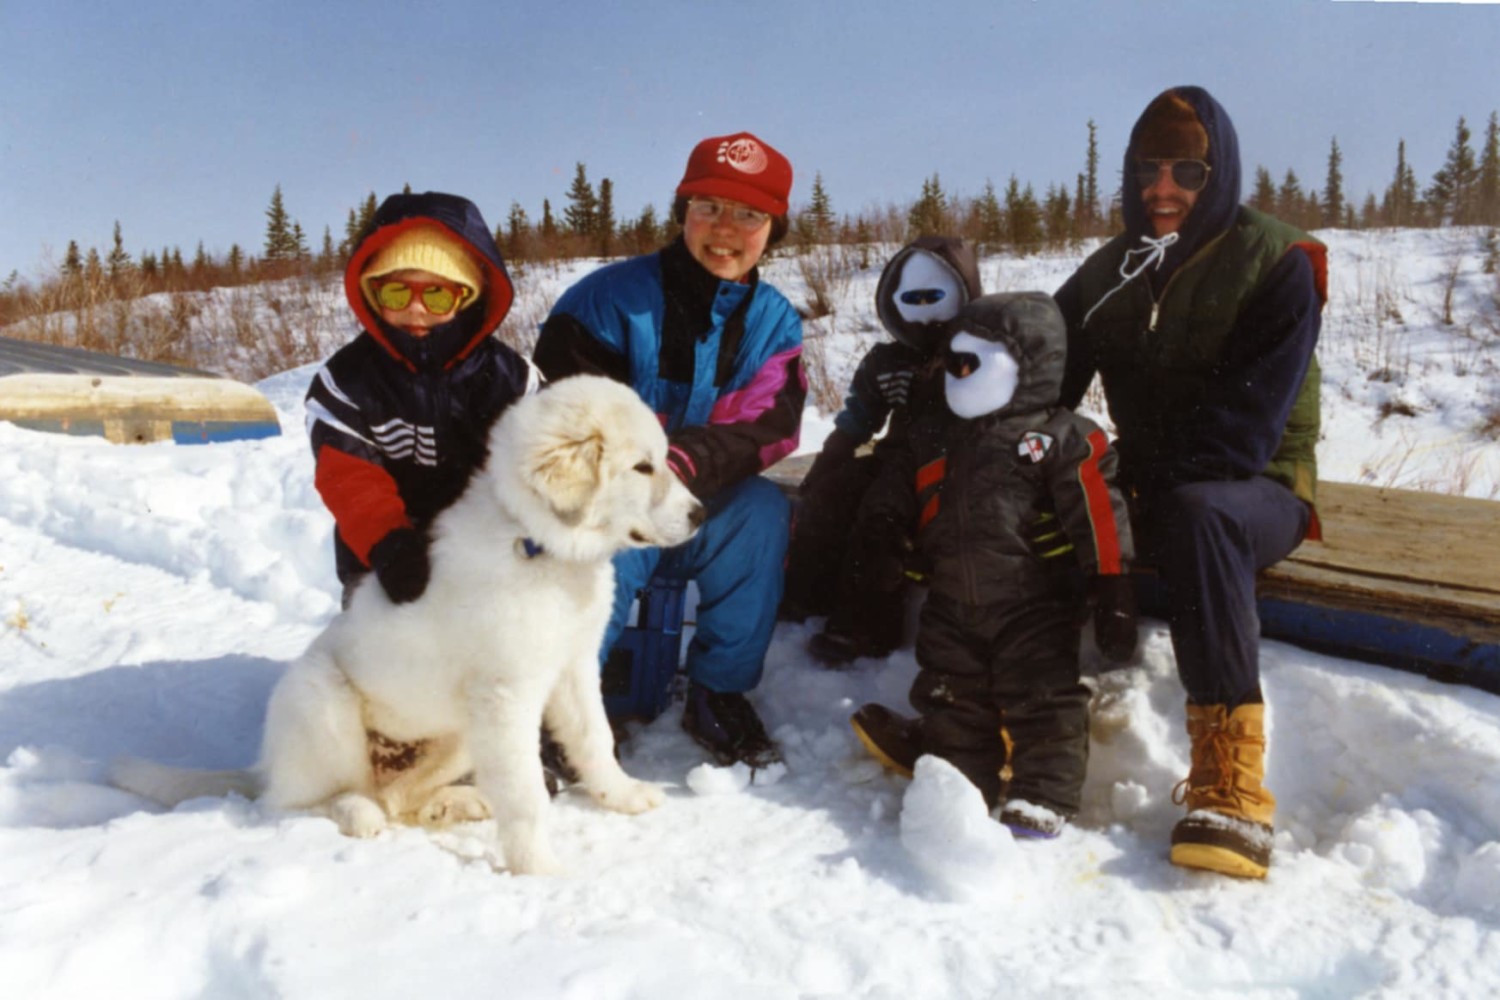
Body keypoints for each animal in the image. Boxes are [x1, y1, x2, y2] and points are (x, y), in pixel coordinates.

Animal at [114, 377, 705, 875]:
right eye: (642, 468)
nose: (700, 514)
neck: (542, 547)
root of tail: (265, 765)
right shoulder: (506, 695)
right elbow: (525, 792)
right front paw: (538, 868)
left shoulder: (573, 668)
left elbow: (595, 739)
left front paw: (624, 795)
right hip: (322, 700)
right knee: (297, 802)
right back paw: (357, 811)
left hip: (460, 732)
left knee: (396, 797)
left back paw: (457, 802)